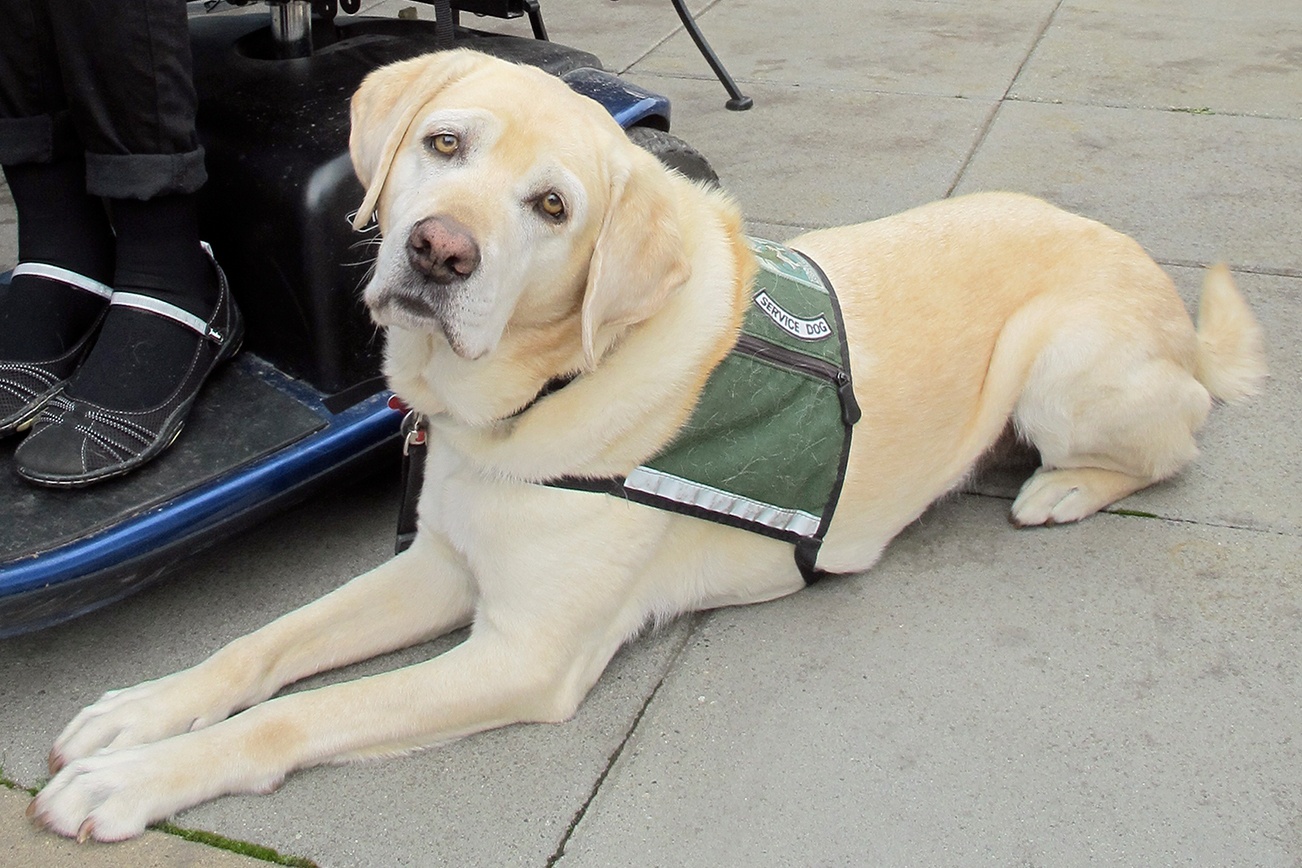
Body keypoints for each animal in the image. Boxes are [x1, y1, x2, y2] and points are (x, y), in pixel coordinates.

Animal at [33, 49, 1270, 843]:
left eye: (552, 207)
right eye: (443, 143)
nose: (437, 251)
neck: (529, 401)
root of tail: (1163, 295)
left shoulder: (522, 652)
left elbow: (301, 710)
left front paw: (129, 782)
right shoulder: (440, 565)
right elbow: (263, 647)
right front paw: (135, 713)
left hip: (1066, 364)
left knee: (1176, 441)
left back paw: (1060, 487)